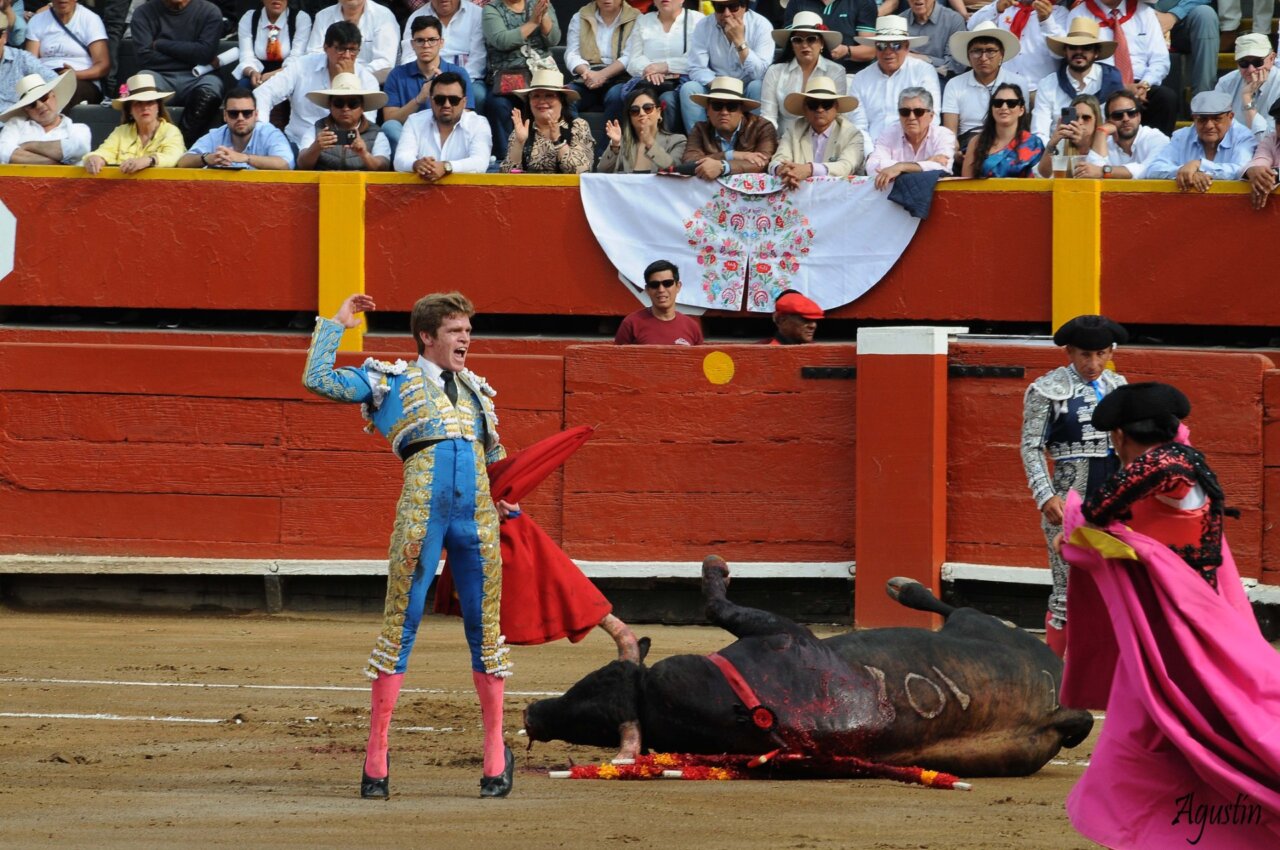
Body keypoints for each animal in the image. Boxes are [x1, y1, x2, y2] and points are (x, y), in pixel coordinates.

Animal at [523, 556, 1094, 777]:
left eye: (591, 683)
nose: (532, 716)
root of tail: (1057, 703)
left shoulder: (778, 632)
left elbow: (715, 605)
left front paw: (713, 568)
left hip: (979, 623)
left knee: (952, 605)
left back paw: (902, 585)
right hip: (981, 631)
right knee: (952, 607)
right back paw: (904, 586)